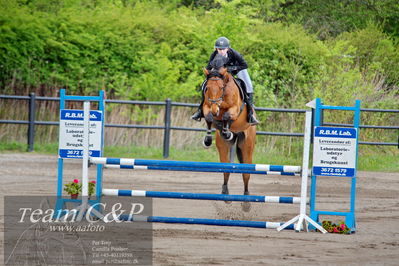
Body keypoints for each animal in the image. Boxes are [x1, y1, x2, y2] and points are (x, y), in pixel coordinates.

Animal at [203, 55, 256, 210]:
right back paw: (225, 194)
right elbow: (209, 117)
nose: (215, 110)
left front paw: (227, 130)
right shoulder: (206, 106)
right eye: (207, 88)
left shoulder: (234, 109)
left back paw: (246, 202)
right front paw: (208, 139)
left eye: (221, 87)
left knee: (246, 174)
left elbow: (227, 115)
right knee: (226, 169)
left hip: (247, 146)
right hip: (223, 147)